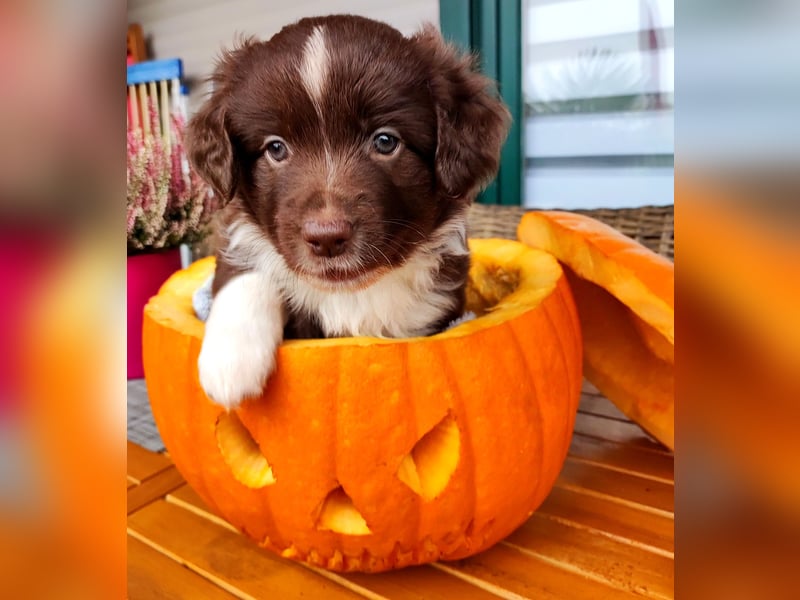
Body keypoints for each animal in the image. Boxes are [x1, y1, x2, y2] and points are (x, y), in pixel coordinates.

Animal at [188, 15, 510, 408]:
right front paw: (230, 363)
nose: (326, 238)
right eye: (275, 149)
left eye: (385, 141)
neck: (349, 294)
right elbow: (247, 271)